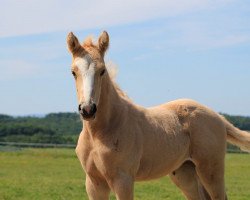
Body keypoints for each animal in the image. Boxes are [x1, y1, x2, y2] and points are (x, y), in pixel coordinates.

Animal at [66, 31, 250, 200]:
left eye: (102, 71)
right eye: (73, 72)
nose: (88, 109)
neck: (101, 132)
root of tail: (219, 117)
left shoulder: (123, 179)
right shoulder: (94, 182)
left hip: (211, 170)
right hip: (186, 172)